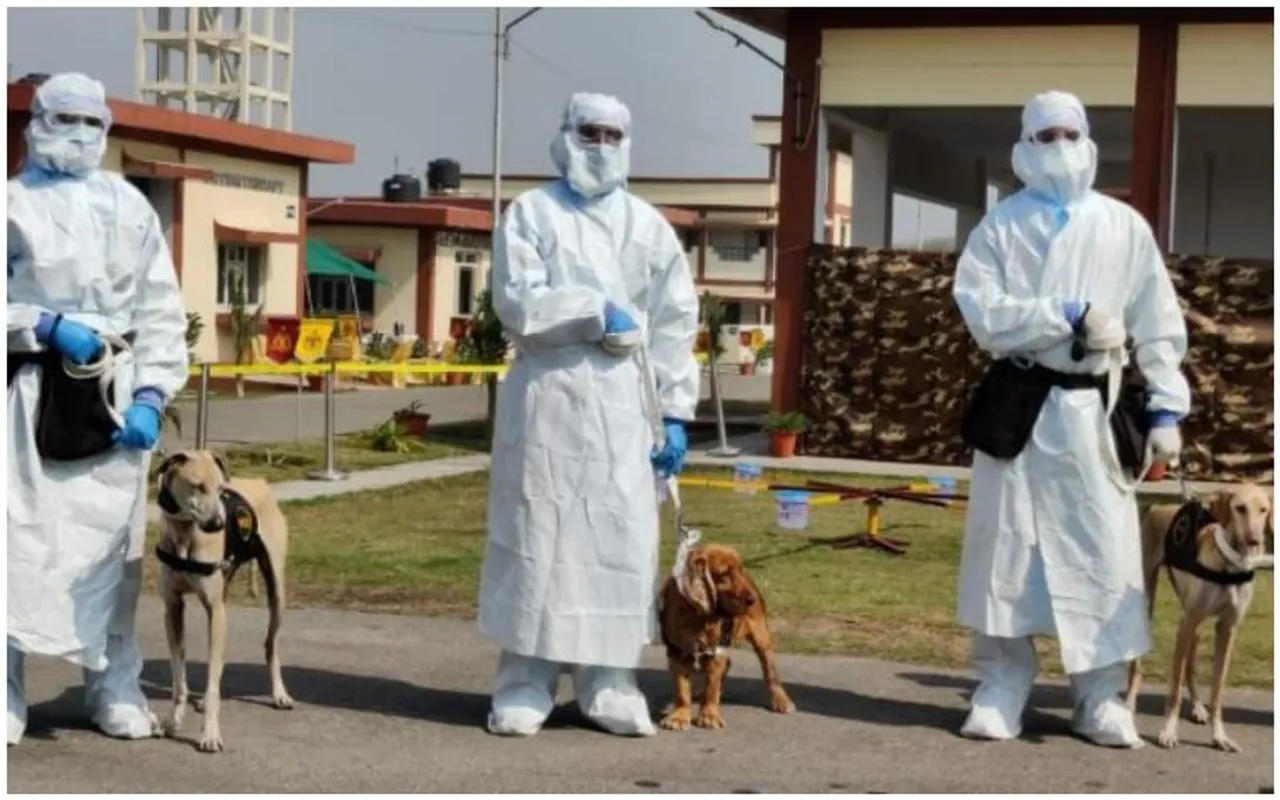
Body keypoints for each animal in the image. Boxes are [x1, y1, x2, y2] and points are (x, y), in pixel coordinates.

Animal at [152, 453, 294, 752]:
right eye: (197, 486)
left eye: (220, 488)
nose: (218, 524)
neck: (185, 535)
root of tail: (258, 481)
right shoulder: (173, 607)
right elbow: (179, 676)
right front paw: (172, 721)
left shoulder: (214, 611)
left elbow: (212, 678)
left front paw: (209, 734)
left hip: (276, 590)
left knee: (270, 644)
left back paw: (279, 693)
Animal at [1131, 483, 1269, 752]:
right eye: (1240, 508)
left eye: (1264, 510)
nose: (1254, 541)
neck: (1228, 567)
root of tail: (1157, 507)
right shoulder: (1186, 623)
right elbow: (1173, 690)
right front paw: (1168, 731)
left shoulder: (1227, 628)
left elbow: (1217, 690)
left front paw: (1220, 736)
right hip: (1150, 605)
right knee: (1138, 665)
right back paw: (1127, 706)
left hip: (1194, 625)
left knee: (1190, 664)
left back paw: (1197, 707)